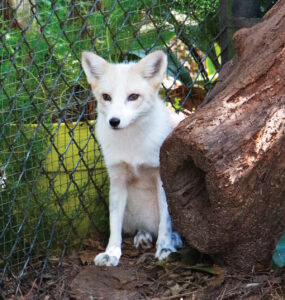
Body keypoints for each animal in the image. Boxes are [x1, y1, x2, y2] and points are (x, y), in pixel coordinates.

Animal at [81, 50, 183, 266]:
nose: (114, 121)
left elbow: (165, 221)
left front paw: (165, 248)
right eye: (106, 97)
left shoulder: (161, 175)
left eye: (133, 97)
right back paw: (143, 236)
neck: (132, 146)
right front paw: (112, 253)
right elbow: (114, 225)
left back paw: (174, 239)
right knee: (140, 226)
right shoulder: (118, 178)